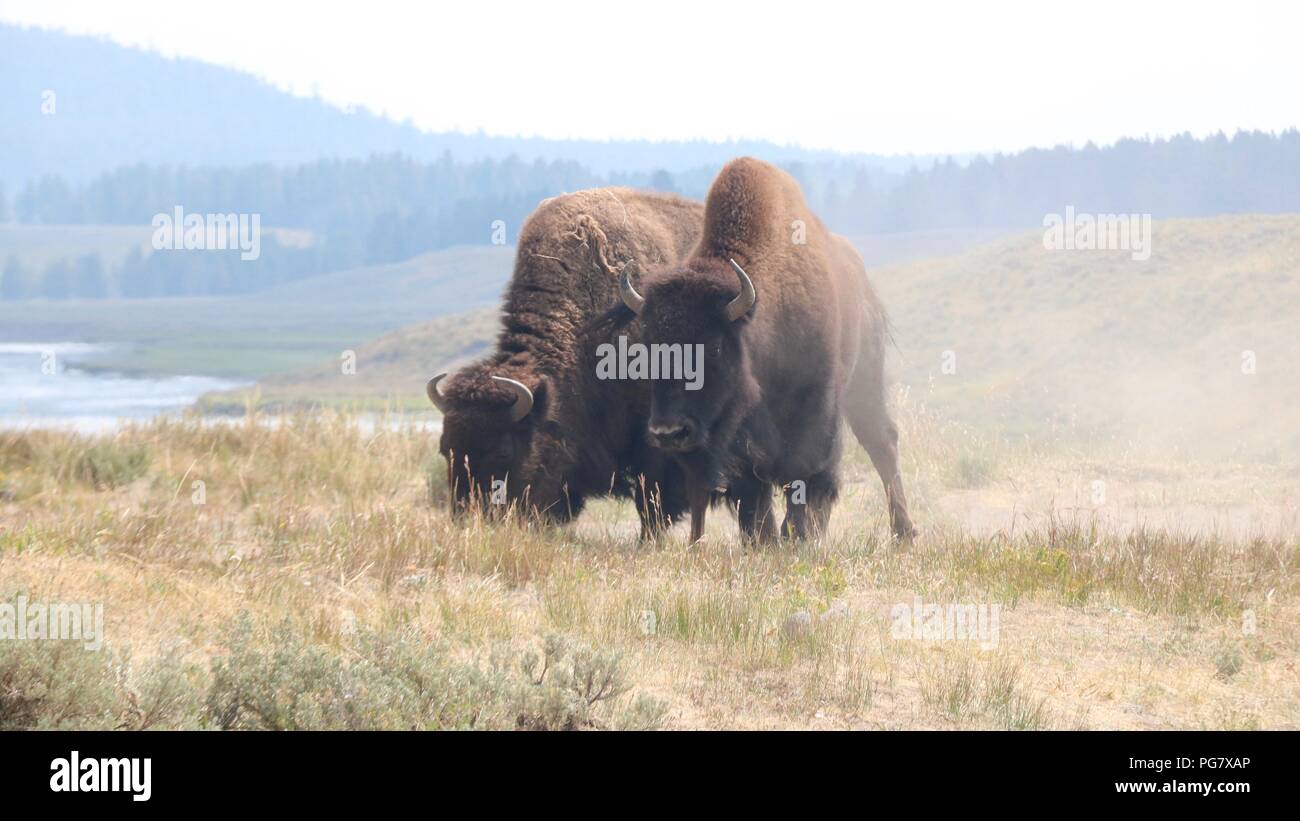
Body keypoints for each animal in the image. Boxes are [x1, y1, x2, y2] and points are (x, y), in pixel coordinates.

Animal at [605, 158, 915, 545]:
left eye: (713, 347)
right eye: (648, 349)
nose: (668, 432)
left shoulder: (814, 408)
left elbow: (804, 473)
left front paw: (796, 535)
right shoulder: (738, 437)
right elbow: (752, 487)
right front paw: (763, 540)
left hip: (864, 381)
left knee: (881, 441)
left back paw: (903, 532)